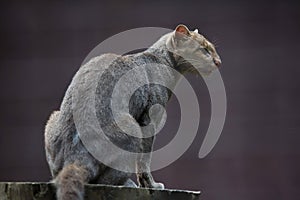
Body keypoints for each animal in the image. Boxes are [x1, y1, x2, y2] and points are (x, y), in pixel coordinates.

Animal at [44, 25, 220, 200]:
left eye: (212, 49)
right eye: (204, 49)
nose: (218, 61)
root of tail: (74, 157)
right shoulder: (150, 120)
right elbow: (144, 160)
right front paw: (152, 185)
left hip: (53, 119)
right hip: (132, 128)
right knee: (102, 179)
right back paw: (128, 183)